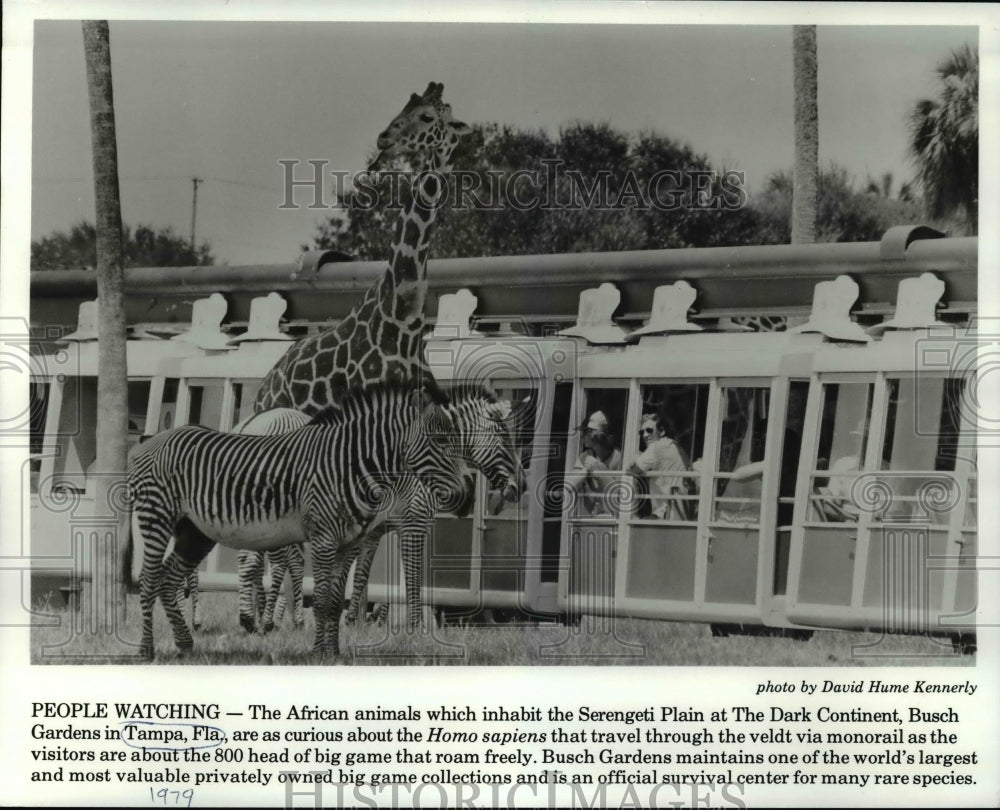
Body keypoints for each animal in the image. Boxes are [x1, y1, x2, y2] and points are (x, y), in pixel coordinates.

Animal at [123, 380, 474, 656]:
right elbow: (321, 600)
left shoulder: (347, 544)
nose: (468, 496)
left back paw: (185, 645)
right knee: (150, 580)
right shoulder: (323, 539)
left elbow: (335, 600)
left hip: (195, 531)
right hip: (157, 516)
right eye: (441, 440)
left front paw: (334, 654)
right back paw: (147, 650)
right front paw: (318, 652)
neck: (348, 464)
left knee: (168, 579)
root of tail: (149, 440)